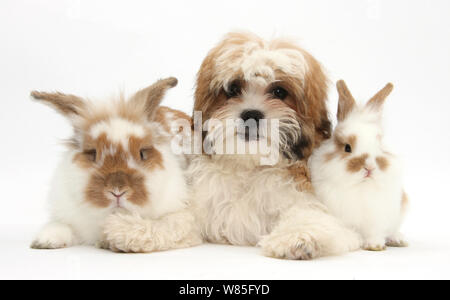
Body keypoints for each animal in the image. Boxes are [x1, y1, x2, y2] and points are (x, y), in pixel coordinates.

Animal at [188, 31, 360, 258]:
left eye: (279, 92)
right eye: (233, 89)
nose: (251, 114)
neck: (250, 165)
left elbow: (314, 218)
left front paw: (300, 236)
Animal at [310, 79, 408, 251]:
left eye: (379, 145)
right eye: (347, 147)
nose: (369, 167)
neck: (360, 187)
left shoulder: (377, 217)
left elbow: (375, 232)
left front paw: (374, 245)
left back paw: (398, 240)